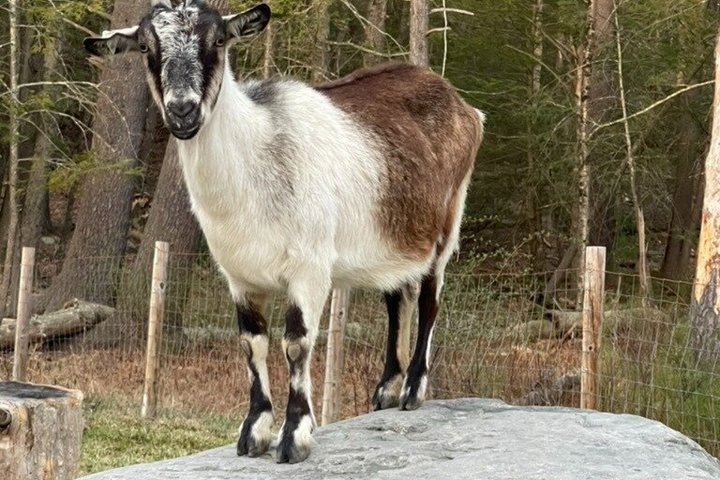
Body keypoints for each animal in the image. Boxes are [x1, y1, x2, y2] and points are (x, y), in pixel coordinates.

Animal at [84, 0, 484, 464]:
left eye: (218, 41)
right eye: (147, 46)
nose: (182, 110)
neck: (259, 156)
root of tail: (465, 107)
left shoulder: (310, 269)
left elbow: (296, 344)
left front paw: (295, 436)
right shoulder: (238, 276)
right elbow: (251, 343)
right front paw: (253, 432)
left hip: (448, 221)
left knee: (429, 300)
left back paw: (413, 390)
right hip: (393, 238)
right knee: (396, 298)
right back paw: (385, 390)